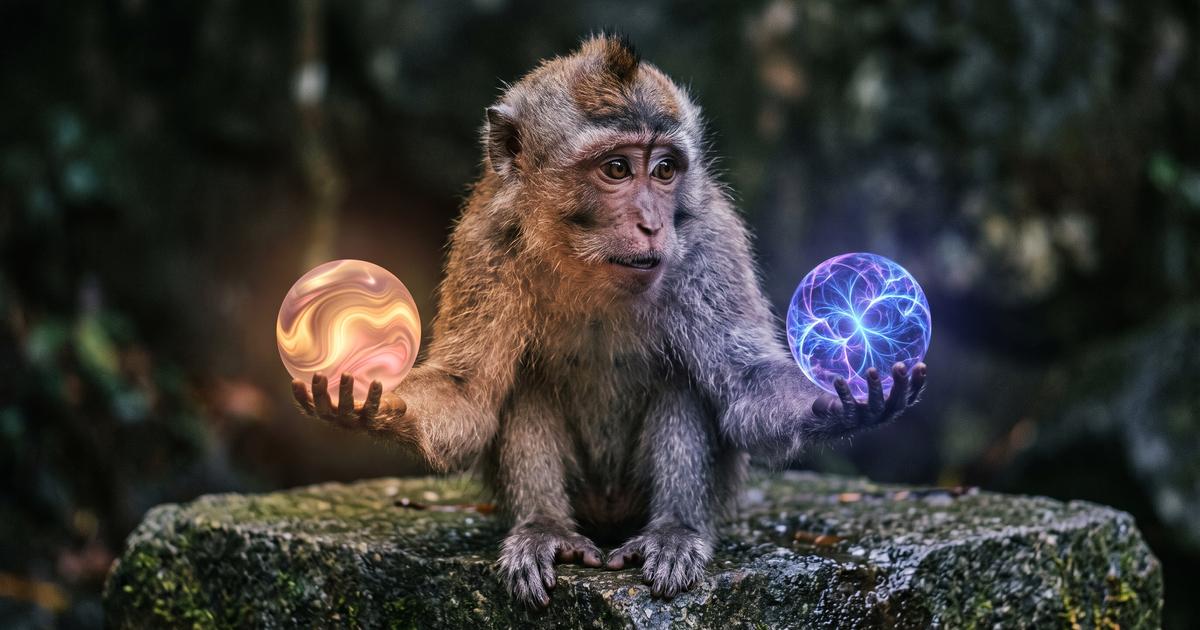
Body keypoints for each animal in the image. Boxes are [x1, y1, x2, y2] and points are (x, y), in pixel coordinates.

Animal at [292, 34, 926, 608]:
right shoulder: (486, 245)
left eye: (665, 170)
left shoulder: (710, 242)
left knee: (683, 382)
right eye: (617, 168)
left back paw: (673, 532)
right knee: (526, 386)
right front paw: (380, 406)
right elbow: (466, 397)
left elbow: (746, 388)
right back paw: (545, 529)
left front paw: (834, 404)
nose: (651, 222)